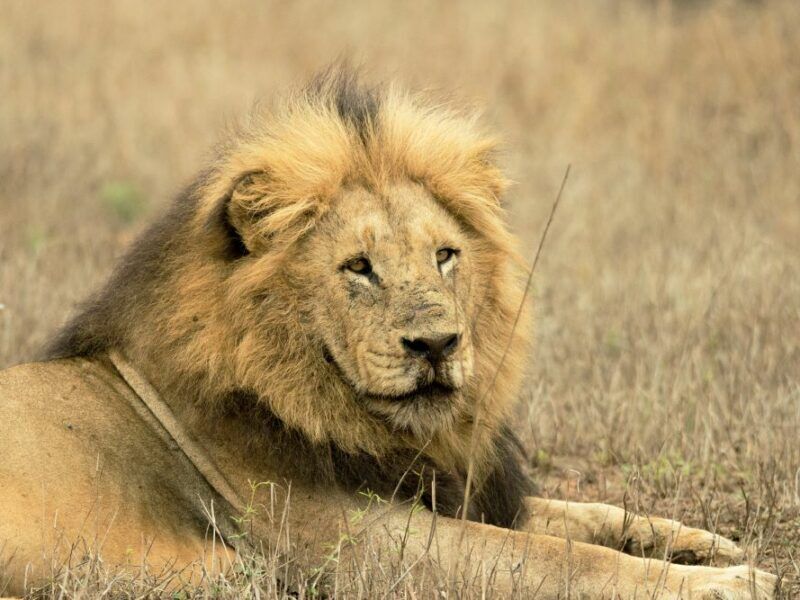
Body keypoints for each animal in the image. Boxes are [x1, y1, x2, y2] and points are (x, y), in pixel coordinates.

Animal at [0, 69, 777, 598]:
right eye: (359, 268)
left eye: (445, 256)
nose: (435, 345)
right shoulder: (359, 546)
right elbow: (560, 559)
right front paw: (731, 583)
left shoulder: (455, 491)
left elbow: (583, 515)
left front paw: (707, 545)